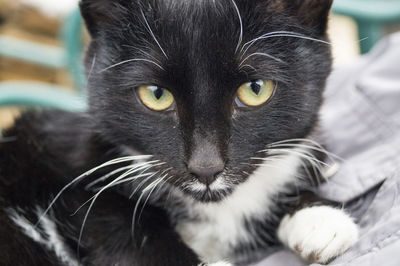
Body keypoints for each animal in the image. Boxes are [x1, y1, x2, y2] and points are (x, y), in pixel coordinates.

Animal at [0, 0, 360, 266]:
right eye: (156, 95)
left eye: (256, 89)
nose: (206, 167)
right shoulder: (60, 160)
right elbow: (115, 225)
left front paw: (318, 217)